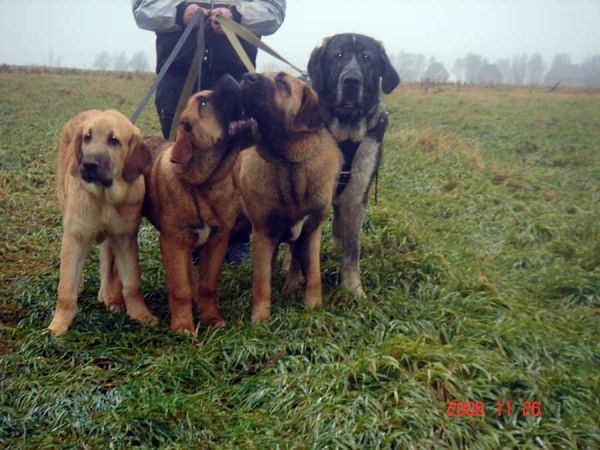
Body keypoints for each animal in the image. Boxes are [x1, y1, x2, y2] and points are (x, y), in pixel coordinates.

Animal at [48, 109, 156, 334]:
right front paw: (58, 325)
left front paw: (141, 315)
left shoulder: (125, 238)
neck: (104, 200)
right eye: (87, 137)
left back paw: (106, 292)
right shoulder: (75, 237)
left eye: (114, 140)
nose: (88, 165)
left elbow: (132, 283)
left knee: (106, 256)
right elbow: (65, 289)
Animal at [234, 71, 342, 324]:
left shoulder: (311, 230)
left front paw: (313, 308)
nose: (246, 76)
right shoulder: (263, 234)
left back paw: (291, 285)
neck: (288, 162)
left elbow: (314, 274)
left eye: (282, 81)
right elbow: (261, 283)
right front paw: (260, 320)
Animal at [310, 33, 398, 298]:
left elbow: (352, 250)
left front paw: (352, 287)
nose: (351, 81)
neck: (346, 136)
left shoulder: (356, 198)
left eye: (367, 57)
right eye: (338, 55)